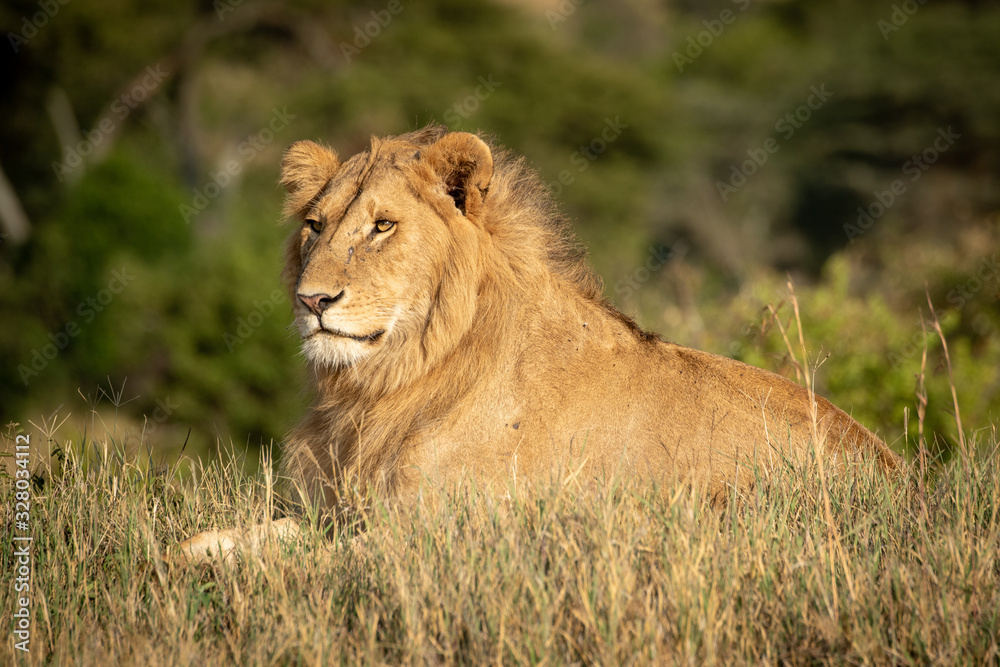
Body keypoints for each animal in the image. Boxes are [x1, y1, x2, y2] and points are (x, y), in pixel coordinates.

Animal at [174, 124, 908, 564]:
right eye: (315, 226)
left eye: (382, 226)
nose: (312, 301)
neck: (384, 387)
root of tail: (906, 482)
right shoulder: (333, 507)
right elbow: (217, 540)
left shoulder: (438, 533)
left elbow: (298, 561)